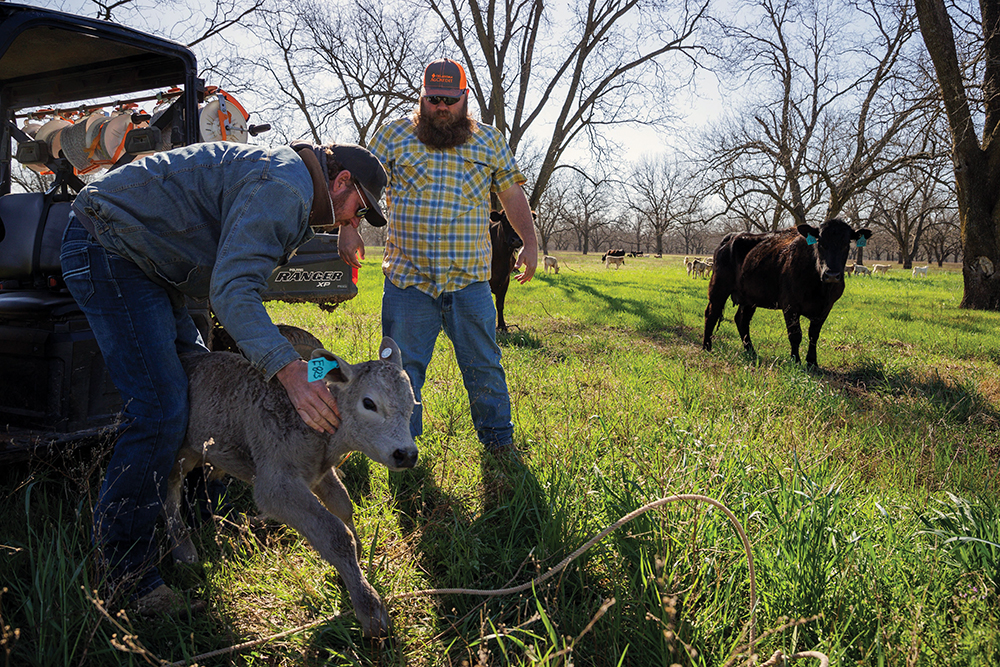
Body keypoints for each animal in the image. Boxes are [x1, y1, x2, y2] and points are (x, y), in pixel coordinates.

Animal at [702, 218, 873, 368]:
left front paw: (812, 363)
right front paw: (796, 362)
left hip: (750, 297)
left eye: (846, 244)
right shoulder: (790, 305)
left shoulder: (826, 308)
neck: (820, 288)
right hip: (718, 287)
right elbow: (795, 335)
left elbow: (814, 335)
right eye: (820, 243)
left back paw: (751, 352)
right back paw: (707, 347)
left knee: (741, 320)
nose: (831, 275)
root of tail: (732, 236)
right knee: (711, 313)